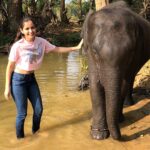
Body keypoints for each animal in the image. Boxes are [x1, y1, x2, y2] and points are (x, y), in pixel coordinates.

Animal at [81, 0, 150, 140]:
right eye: (95, 52)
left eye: (130, 52)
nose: (123, 136)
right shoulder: (89, 54)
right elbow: (94, 85)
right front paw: (98, 135)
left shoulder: (136, 54)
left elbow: (123, 84)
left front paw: (118, 121)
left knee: (131, 77)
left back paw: (128, 105)